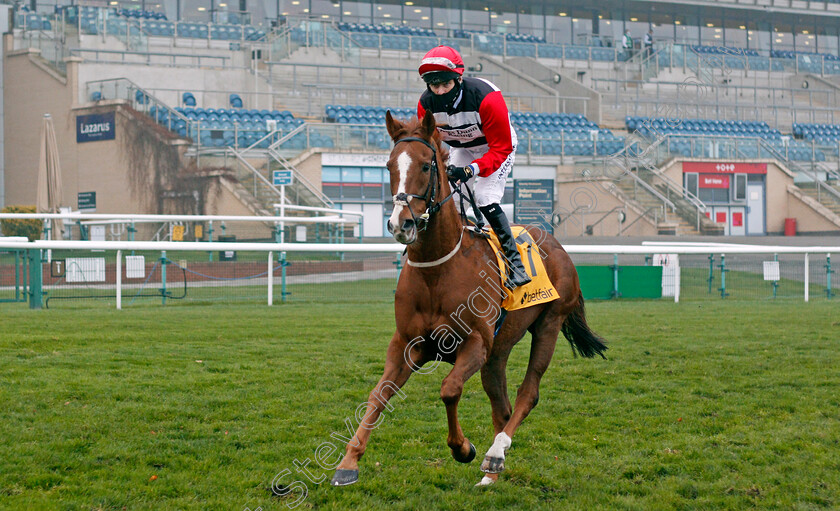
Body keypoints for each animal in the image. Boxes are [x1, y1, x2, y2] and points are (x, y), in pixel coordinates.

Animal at [330, 109, 612, 488]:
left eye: (425, 166)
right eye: (389, 166)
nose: (400, 224)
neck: (437, 270)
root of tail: (558, 246)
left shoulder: (476, 342)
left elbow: (449, 389)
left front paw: (463, 448)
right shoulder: (406, 343)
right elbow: (379, 394)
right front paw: (348, 462)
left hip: (548, 325)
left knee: (528, 394)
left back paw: (495, 454)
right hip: (499, 350)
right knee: (502, 406)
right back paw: (492, 472)